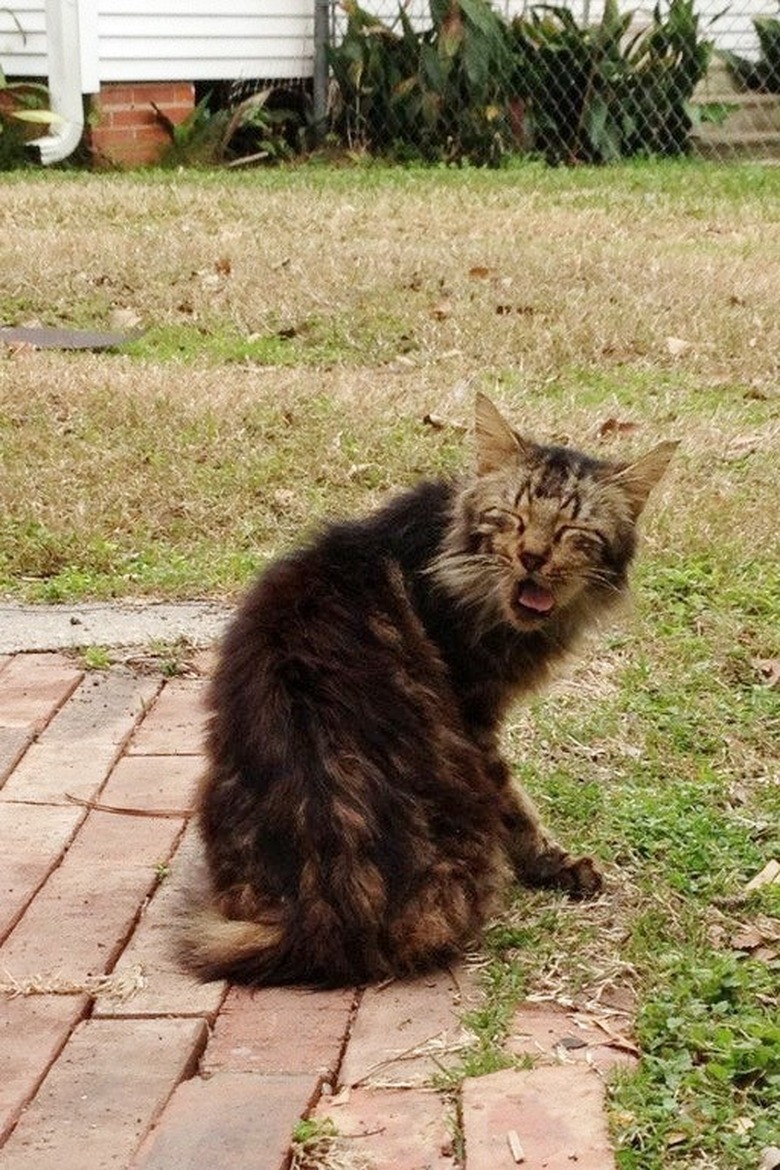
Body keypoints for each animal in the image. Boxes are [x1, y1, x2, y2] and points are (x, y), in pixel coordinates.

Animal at [178, 395, 678, 987]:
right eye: (512, 518)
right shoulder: (476, 719)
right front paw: (551, 862)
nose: (532, 557)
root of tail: (328, 907)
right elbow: (517, 804)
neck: (449, 550)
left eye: (571, 531)